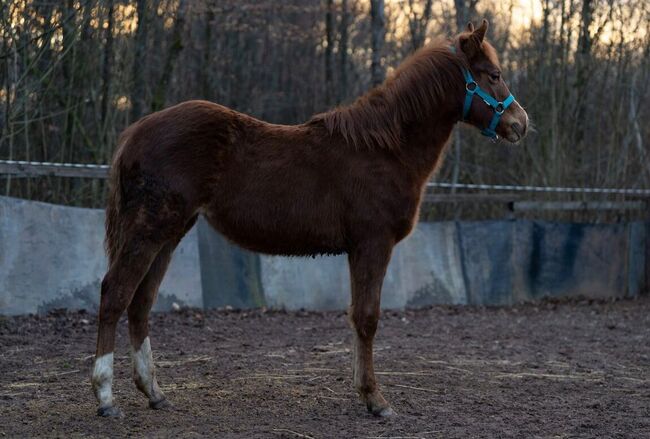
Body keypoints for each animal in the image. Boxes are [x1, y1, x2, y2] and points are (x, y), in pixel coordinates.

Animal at [92, 20, 528, 420]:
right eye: (493, 75)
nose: (520, 124)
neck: (385, 150)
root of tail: (135, 132)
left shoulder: (358, 249)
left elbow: (356, 317)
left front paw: (364, 392)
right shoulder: (373, 244)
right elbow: (367, 318)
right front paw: (376, 400)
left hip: (170, 233)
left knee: (141, 303)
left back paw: (154, 392)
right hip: (149, 230)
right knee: (115, 294)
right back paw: (106, 398)